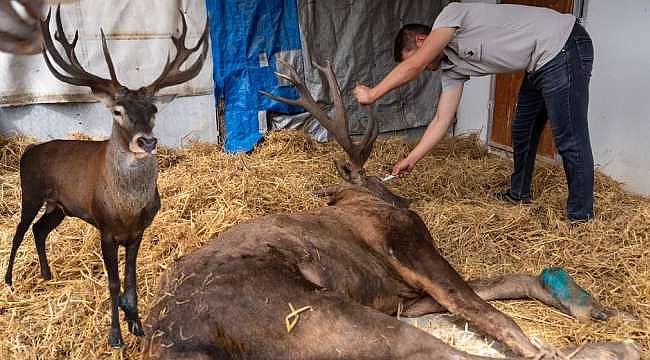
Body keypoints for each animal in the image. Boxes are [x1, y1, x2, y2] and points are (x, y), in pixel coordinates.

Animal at [3, 4, 209, 348]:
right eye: (117, 111)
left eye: (153, 109)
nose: (147, 141)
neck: (126, 209)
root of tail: (27, 152)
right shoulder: (106, 229)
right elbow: (113, 283)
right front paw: (115, 335)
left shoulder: (137, 232)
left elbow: (130, 279)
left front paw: (136, 323)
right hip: (30, 192)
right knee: (19, 232)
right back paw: (8, 280)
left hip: (59, 207)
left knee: (39, 230)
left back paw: (46, 275)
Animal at [140, 60, 636, 358]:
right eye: (380, 181)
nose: (401, 197)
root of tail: (168, 340)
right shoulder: (407, 244)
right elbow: (484, 308)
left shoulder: (405, 296)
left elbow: (499, 285)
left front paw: (595, 309)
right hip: (321, 315)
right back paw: (613, 348)